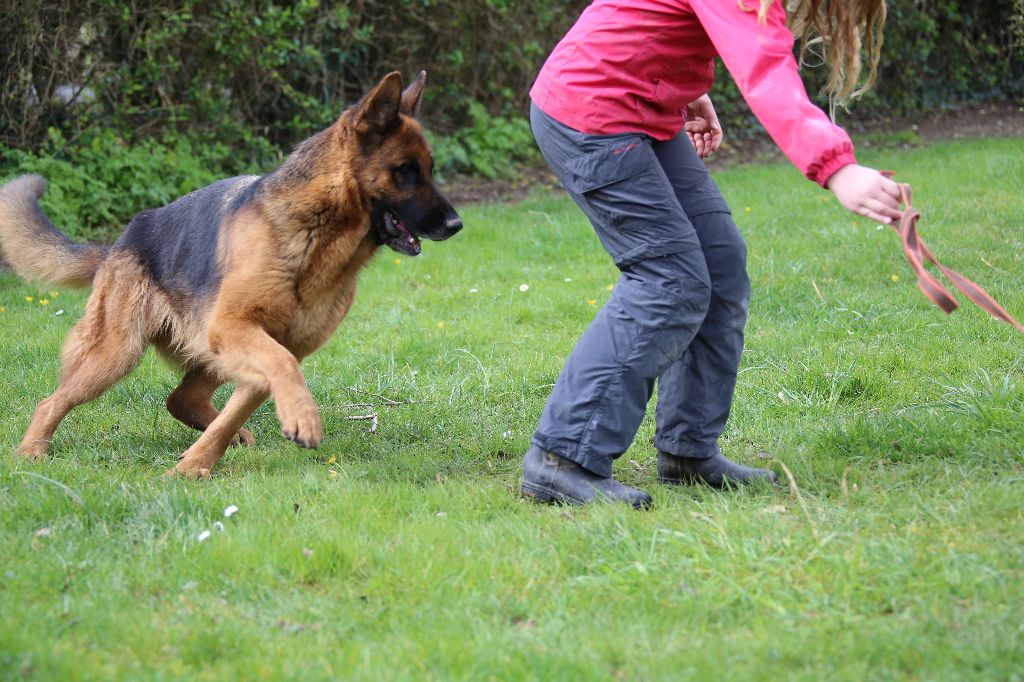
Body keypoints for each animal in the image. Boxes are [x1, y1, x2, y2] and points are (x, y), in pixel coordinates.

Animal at [0, 69, 460, 473]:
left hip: (207, 352)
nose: (456, 225)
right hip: (117, 353)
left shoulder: (268, 345)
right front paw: (303, 418)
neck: (316, 238)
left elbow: (240, 408)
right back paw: (31, 451)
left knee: (180, 399)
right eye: (405, 171)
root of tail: (120, 243)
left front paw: (193, 468)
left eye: (429, 169)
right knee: (52, 401)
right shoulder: (240, 330)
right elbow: (282, 370)